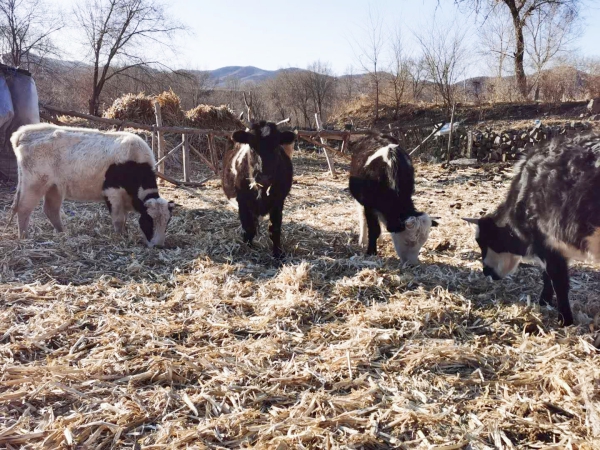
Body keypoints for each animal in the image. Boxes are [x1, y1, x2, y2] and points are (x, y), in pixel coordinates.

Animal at [8, 123, 173, 248]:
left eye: (167, 222)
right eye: (148, 220)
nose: (158, 246)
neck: (134, 164)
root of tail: (24, 133)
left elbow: (124, 218)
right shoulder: (112, 192)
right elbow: (119, 219)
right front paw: (119, 237)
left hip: (54, 187)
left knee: (50, 209)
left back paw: (62, 232)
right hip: (34, 184)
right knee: (23, 208)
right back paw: (24, 237)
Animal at [221, 121, 296, 258]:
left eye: (276, 146)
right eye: (251, 146)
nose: (264, 178)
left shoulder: (278, 202)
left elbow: (274, 229)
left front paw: (278, 253)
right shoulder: (242, 202)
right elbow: (248, 227)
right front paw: (248, 249)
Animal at [346, 130, 436, 264]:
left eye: (423, 242)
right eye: (407, 241)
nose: (412, 264)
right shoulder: (368, 204)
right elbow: (374, 229)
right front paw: (371, 252)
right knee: (362, 217)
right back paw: (363, 240)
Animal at [466, 134, 600, 326]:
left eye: (484, 241)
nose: (486, 272)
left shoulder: (547, 243)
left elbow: (557, 280)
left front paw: (564, 319)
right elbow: (547, 275)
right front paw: (545, 302)